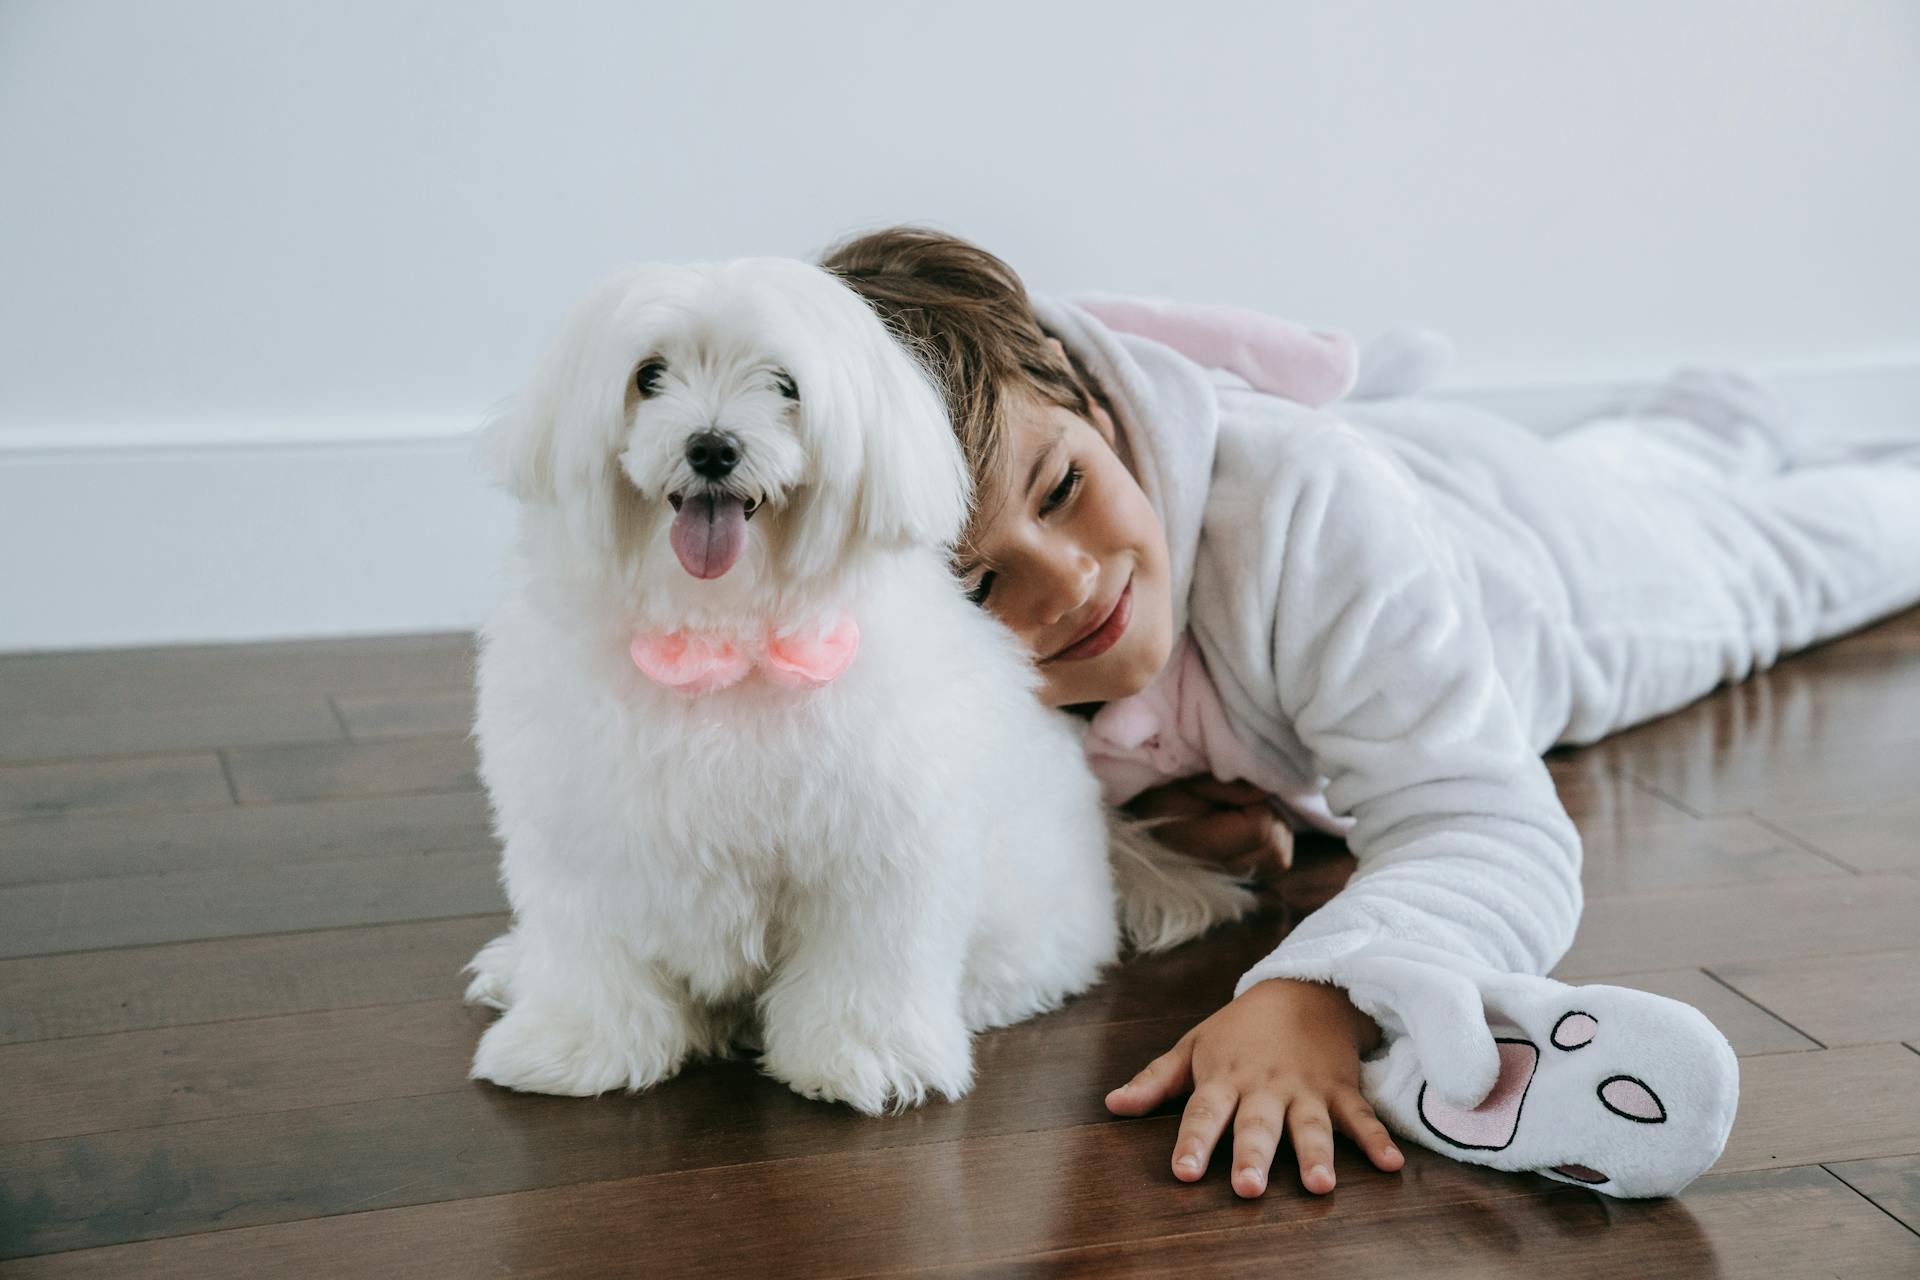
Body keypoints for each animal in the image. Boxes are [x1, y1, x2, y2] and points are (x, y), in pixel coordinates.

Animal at [460, 257, 1244, 1113]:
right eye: (650, 376)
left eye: (785, 386)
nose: (711, 447)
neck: (723, 638)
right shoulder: (584, 835)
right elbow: (590, 956)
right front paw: (573, 1045)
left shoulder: (880, 848)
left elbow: (867, 963)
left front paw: (863, 1059)